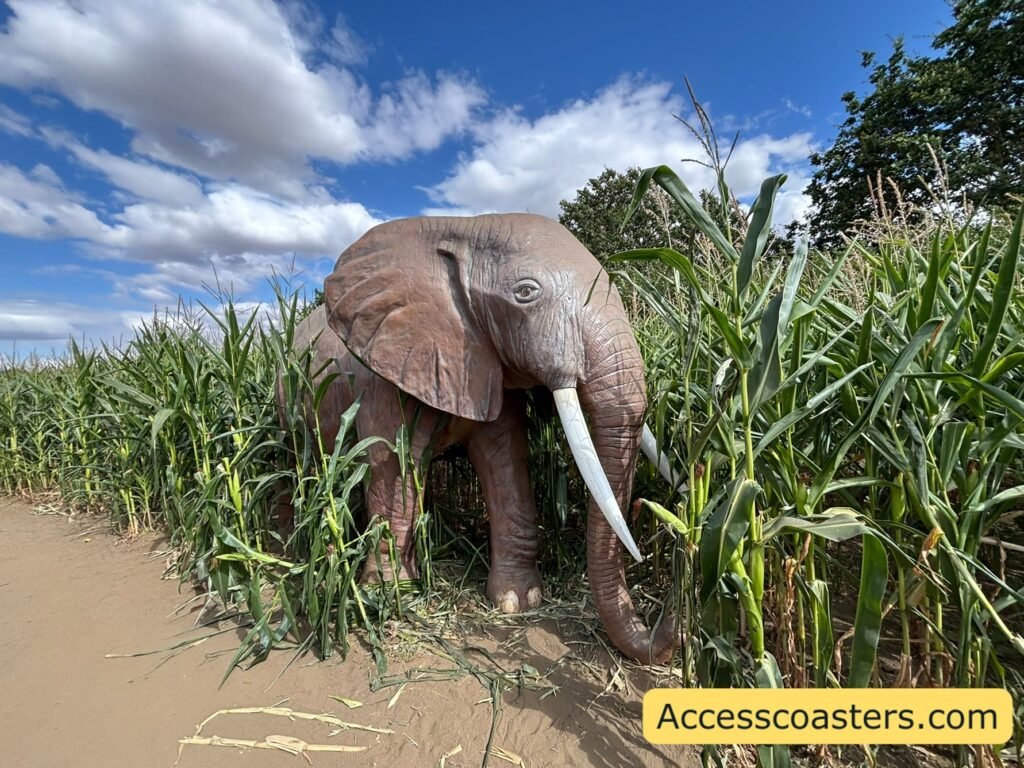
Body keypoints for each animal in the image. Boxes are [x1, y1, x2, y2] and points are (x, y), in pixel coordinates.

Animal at [278, 213, 681, 663]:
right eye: (525, 293)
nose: (673, 611)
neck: (463, 227)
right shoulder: (383, 371)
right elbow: (392, 466)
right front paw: (389, 595)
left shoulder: (486, 360)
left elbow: (503, 458)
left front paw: (518, 601)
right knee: (303, 464)